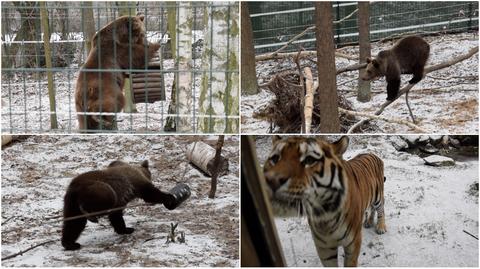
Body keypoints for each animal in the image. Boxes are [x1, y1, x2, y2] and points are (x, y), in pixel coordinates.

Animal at [262, 135, 386, 264]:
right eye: (275, 158)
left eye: (309, 160)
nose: (272, 180)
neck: (326, 214)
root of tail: (372, 154)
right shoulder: (324, 248)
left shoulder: (352, 243)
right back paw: (368, 222)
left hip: (378, 196)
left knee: (381, 209)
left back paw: (381, 227)